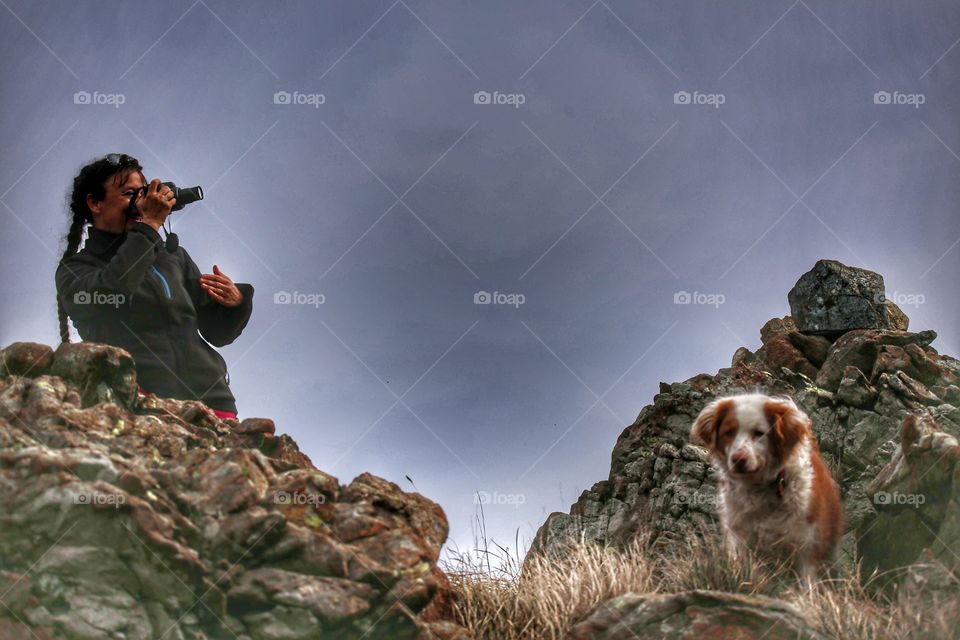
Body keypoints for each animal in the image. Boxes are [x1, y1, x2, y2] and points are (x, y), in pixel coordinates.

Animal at [688, 392, 840, 576]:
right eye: (728, 432)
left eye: (759, 433)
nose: (738, 459)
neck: (760, 489)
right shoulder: (740, 536)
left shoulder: (807, 546)